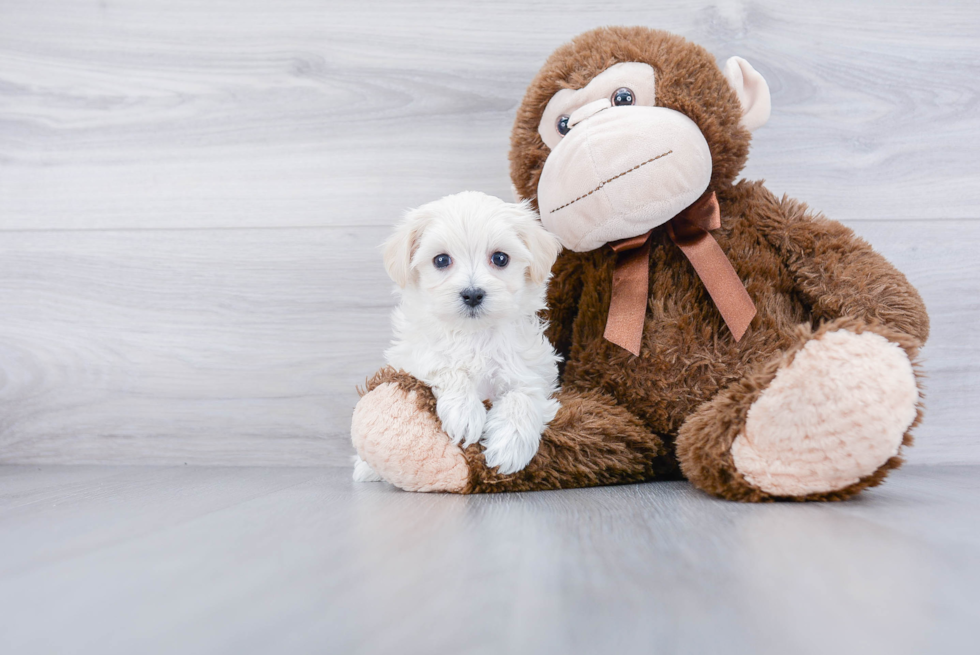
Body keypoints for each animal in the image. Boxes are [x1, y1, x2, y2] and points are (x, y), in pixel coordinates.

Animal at [356, 191, 564, 482]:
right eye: (441, 260)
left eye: (501, 258)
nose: (473, 294)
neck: (474, 335)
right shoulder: (413, 357)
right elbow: (445, 365)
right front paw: (464, 413)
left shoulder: (533, 371)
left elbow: (523, 395)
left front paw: (509, 445)